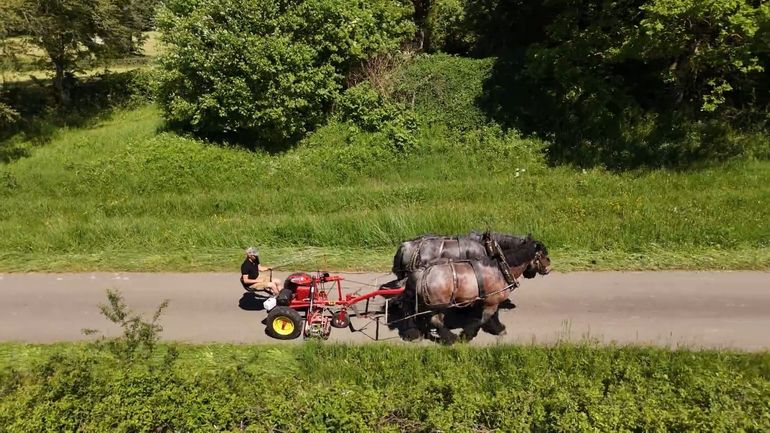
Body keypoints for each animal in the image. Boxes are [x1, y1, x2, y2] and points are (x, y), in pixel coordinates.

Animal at [389, 237, 551, 344]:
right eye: (543, 254)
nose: (549, 266)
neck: (501, 268)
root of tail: (422, 273)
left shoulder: (490, 299)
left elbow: (492, 317)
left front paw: (498, 328)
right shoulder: (492, 301)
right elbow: (484, 319)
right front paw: (467, 334)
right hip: (439, 303)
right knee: (434, 319)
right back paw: (448, 337)